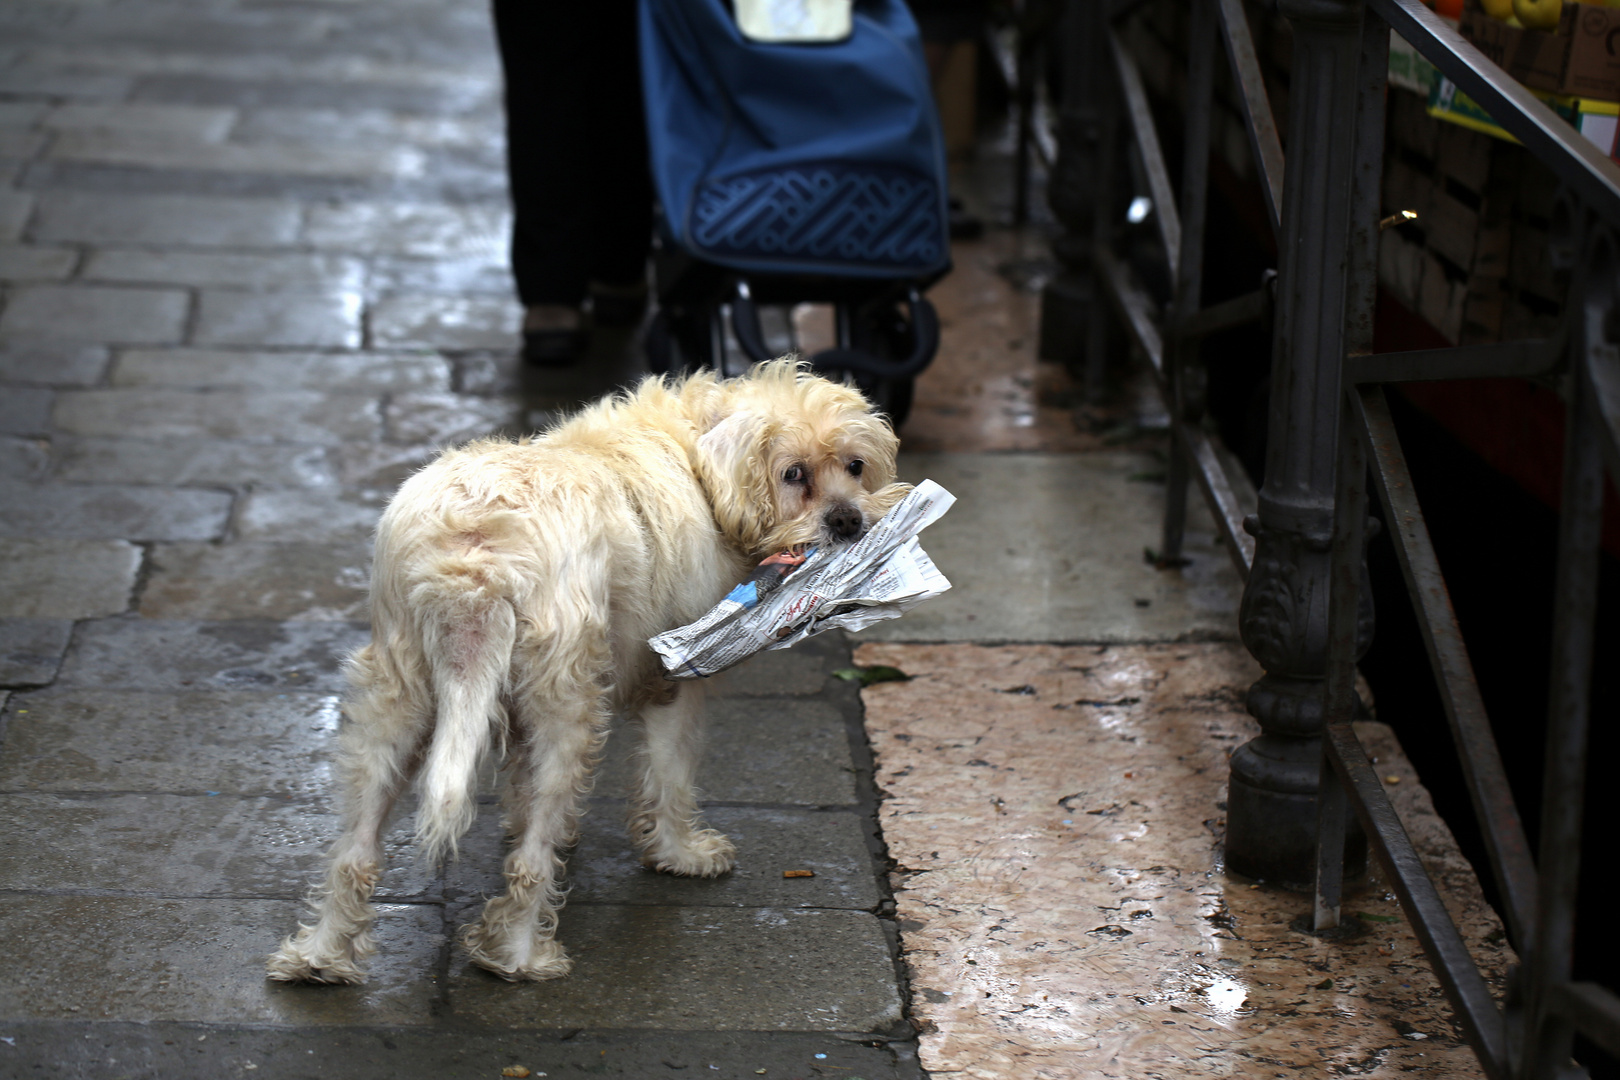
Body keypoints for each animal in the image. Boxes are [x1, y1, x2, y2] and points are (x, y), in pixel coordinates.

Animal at [259, 359, 907, 984]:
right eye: (794, 474)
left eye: (855, 466)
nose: (849, 523)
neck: (698, 461)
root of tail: (473, 556)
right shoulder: (675, 677)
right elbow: (671, 775)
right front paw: (680, 853)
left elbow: (522, 780)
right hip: (568, 706)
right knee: (531, 859)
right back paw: (520, 954)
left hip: (395, 696)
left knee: (355, 847)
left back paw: (320, 958)